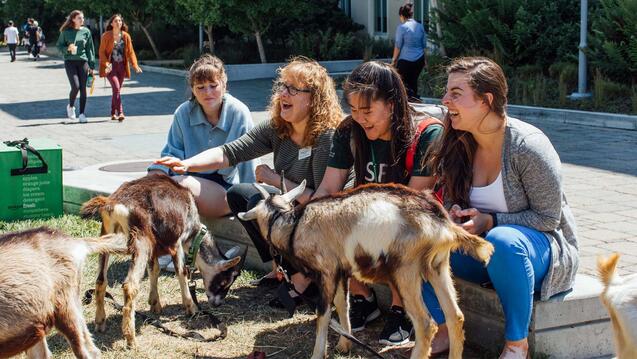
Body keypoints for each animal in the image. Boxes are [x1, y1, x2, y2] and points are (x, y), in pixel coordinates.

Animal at [80, 174, 245, 348]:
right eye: (225, 281)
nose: (217, 304)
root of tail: (113, 202)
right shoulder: (176, 242)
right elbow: (181, 271)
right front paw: (191, 308)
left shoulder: (155, 245)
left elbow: (154, 269)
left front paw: (155, 304)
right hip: (141, 238)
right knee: (130, 286)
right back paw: (130, 339)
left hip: (107, 234)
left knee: (100, 280)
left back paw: (100, 322)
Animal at [238, 183, 492, 359]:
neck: (293, 224)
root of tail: (442, 224)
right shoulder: (342, 272)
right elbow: (343, 305)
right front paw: (344, 345)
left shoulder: (326, 272)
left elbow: (323, 314)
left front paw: (318, 353)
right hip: (438, 267)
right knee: (455, 316)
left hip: (406, 270)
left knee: (425, 324)